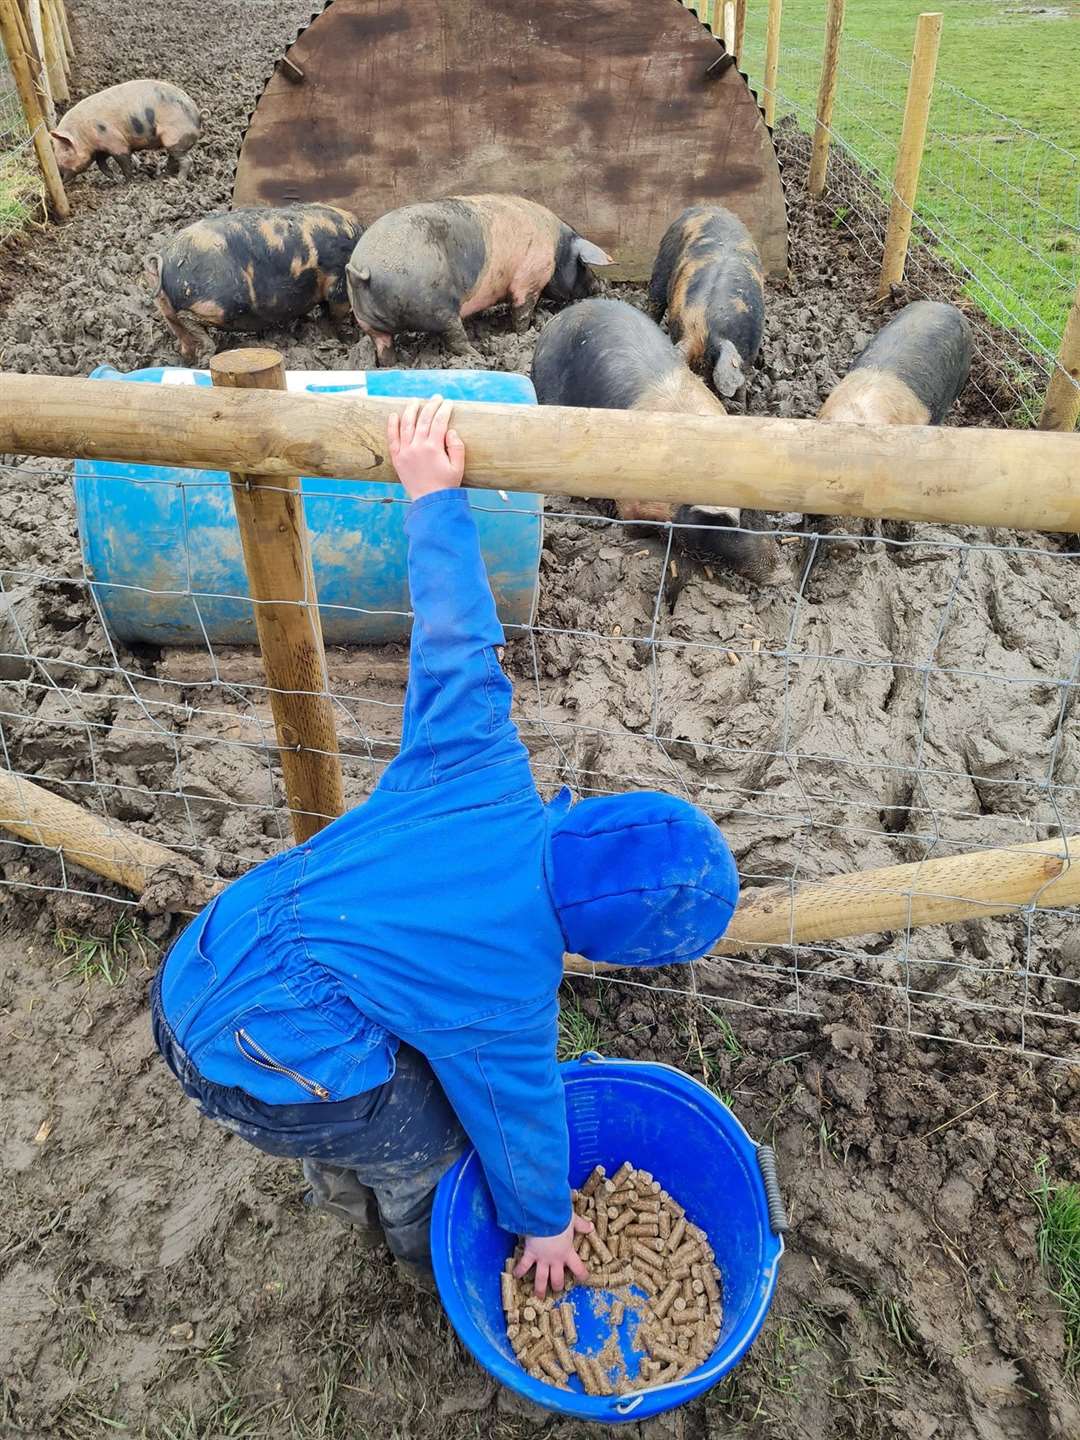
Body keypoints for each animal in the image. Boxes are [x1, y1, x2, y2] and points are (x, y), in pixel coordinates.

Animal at [48, 79, 201, 182]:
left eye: (65, 150)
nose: (60, 175)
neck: (82, 134)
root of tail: (197, 117)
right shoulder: (102, 148)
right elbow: (102, 164)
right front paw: (117, 179)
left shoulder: (115, 140)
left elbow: (124, 161)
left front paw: (128, 181)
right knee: (173, 160)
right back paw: (161, 177)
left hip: (175, 136)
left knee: (186, 160)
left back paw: (176, 182)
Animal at [144, 207, 361, 365]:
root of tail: (165, 257)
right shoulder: (339, 286)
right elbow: (333, 317)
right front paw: (340, 340)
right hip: (219, 304)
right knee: (188, 318)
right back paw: (206, 356)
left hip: (167, 308)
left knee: (182, 334)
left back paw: (189, 361)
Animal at [348, 195, 616, 365]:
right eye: (584, 265)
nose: (601, 285)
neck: (557, 248)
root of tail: (362, 268)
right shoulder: (528, 279)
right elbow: (521, 311)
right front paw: (525, 331)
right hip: (435, 305)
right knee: (455, 338)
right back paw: (477, 356)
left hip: (368, 322)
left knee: (384, 347)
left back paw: (391, 364)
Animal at [529, 298, 777, 584]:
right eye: (735, 526)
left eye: (761, 513)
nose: (779, 573)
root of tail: (561, 316)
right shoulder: (630, 501)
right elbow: (634, 526)